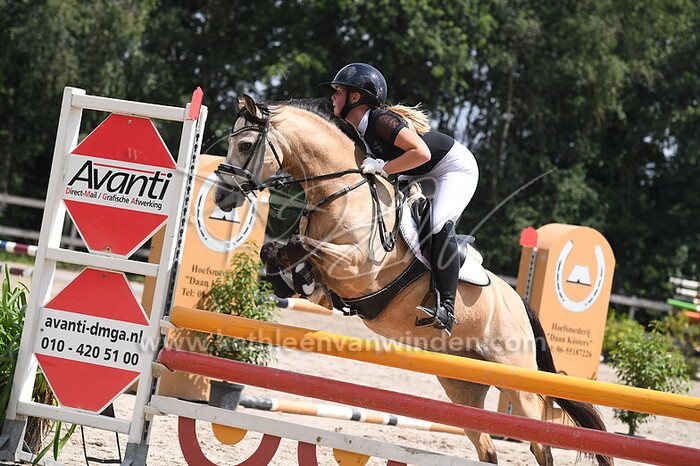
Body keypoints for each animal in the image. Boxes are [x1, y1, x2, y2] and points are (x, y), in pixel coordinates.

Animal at [213, 94, 611, 466]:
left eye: (245, 145)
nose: (221, 196)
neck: (342, 191)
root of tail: (518, 301)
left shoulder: (356, 269)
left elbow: (301, 246)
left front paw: (297, 276)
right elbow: (277, 252)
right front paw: (292, 281)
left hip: (517, 377)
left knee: (540, 439)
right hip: (461, 385)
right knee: (488, 446)